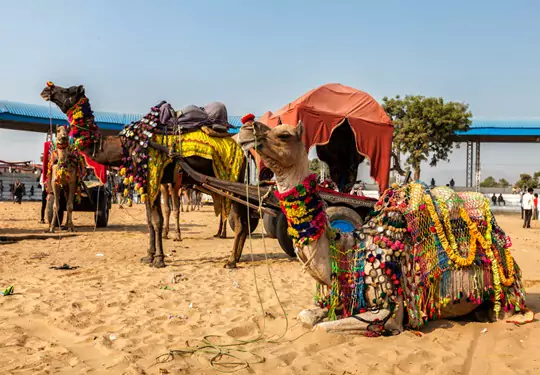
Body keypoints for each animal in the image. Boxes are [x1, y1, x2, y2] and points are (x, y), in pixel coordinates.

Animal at [40, 83, 251, 268]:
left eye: (68, 90)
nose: (46, 90)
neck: (127, 144)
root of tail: (243, 153)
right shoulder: (151, 180)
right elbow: (151, 220)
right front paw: (149, 256)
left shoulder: (152, 174)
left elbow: (156, 220)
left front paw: (159, 259)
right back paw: (236, 257)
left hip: (231, 178)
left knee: (240, 220)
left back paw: (231, 261)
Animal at [238, 119, 528, 334]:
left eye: (284, 135)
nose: (246, 128)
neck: (348, 251)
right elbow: (306, 317)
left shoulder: (390, 308)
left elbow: (324, 327)